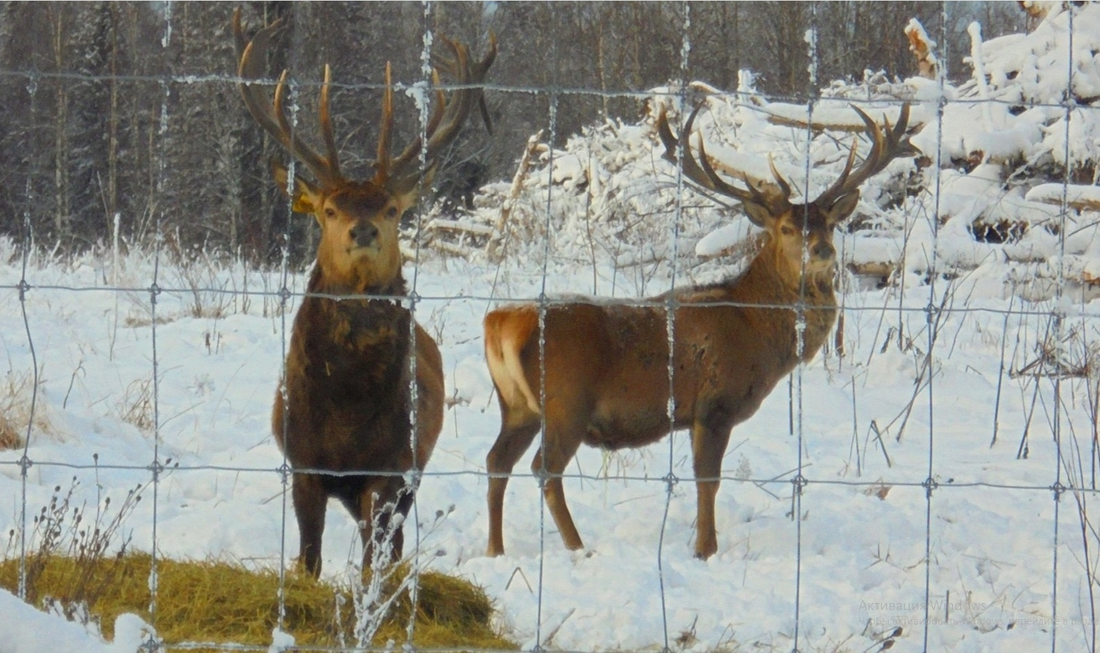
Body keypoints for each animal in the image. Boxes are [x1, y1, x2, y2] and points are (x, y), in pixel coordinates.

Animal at [234, 7, 497, 571]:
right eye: (330, 209)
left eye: (392, 209)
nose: (363, 230)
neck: (348, 411)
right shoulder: (304, 465)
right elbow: (308, 560)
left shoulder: (392, 467)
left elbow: (375, 562)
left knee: (388, 545)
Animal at [486, 102, 915, 558]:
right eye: (786, 228)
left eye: (828, 224)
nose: (821, 251)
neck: (756, 329)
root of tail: (501, 323)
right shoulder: (716, 403)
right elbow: (707, 480)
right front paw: (705, 549)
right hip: (565, 401)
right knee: (544, 469)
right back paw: (577, 547)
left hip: (518, 406)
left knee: (498, 461)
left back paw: (495, 549)